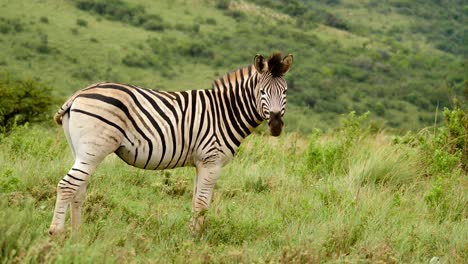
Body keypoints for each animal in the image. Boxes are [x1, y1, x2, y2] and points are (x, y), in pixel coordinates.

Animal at [49, 52, 294, 235]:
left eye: (285, 91)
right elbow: (202, 204)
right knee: (67, 185)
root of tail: (79, 94)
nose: (275, 126)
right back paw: (56, 233)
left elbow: (196, 201)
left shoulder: (201, 163)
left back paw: (77, 235)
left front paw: (192, 234)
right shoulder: (211, 161)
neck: (225, 112)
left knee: (78, 190)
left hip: (81, 152)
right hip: (93, 150)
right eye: (261, 91)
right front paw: (196, 239)